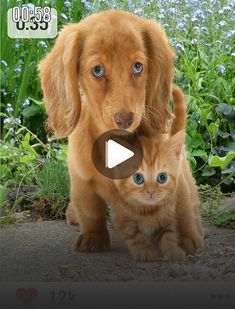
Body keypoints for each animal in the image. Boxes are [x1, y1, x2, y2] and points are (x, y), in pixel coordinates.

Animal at [39, 9, 174, 251]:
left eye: (137, 66)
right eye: (97, 70)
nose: (125, 119)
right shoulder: (82, 181)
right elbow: (91, 211)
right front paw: (93, 238)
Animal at [112, 88, 204, 262]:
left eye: (162, 177)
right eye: (138, 178)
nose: (151, 191)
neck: (147, 210)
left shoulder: (169, 219)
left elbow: (169, 235)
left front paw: (173, 251)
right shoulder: (122, 218)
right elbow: (135, 236)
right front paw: (144, 251)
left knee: (191, 209)